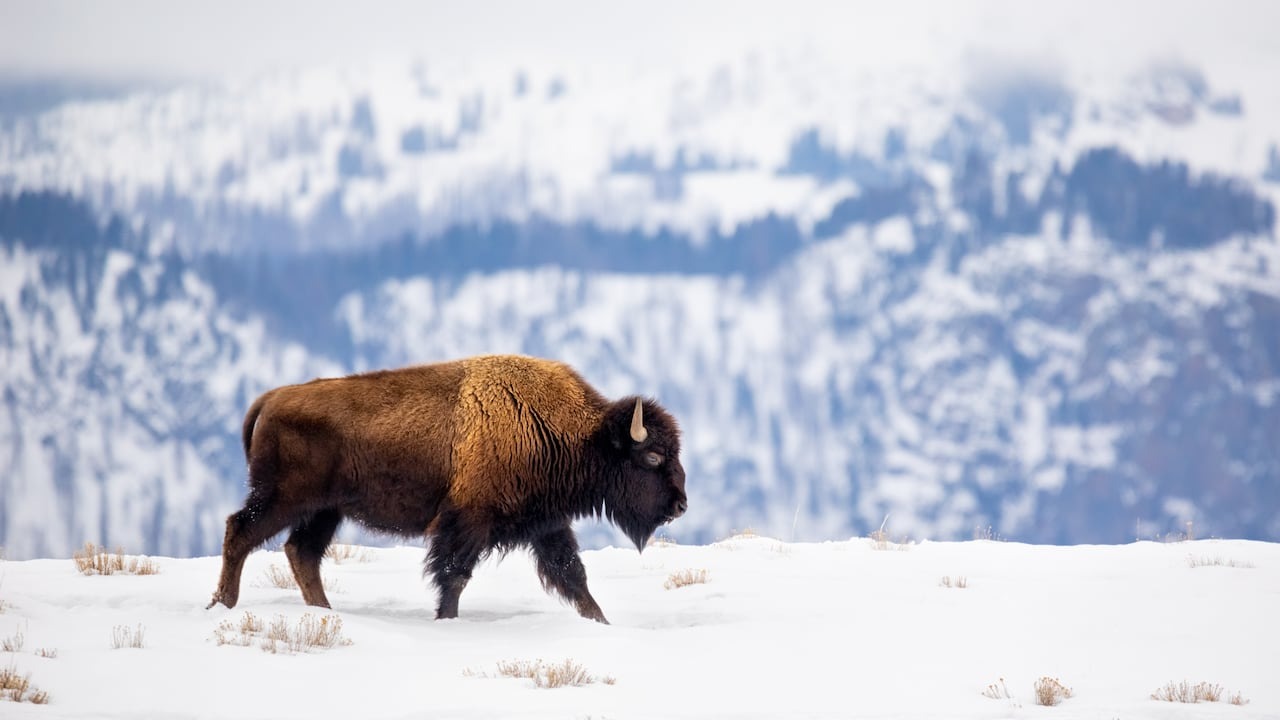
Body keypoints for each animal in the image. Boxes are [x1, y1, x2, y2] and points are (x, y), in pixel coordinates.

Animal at [207, 353, 691, 622]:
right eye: (652, 457)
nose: (681, 505)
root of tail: (270, 399)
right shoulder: (467, 523)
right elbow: (454, 575)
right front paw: (447, 620)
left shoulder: (547, 525)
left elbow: (574, 577)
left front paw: (603, 624)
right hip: (285, 498)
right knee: (241, 530)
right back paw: (223, 605)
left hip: (325, 510)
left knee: (301, 552)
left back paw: (322, 611)